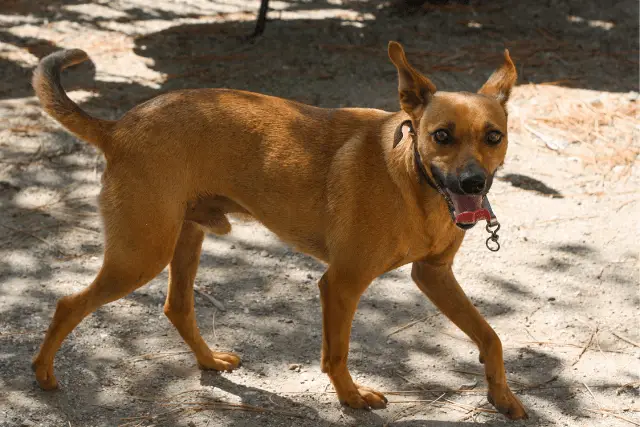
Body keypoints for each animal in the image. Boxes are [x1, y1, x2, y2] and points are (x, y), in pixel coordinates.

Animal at [31, 41, 524, 422]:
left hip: (184, 240)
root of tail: (117, 127)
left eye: (493, 136)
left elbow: (492, 337)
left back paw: (209, 360)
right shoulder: (342, 284)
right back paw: (43, 374)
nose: (473, 184)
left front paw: (502, 396)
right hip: (141, 255)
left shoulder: (433, 275)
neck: (411, 179)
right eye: (441, 136)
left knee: (177, 307)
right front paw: (351, 398)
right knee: (68, 303)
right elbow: (336, 353)